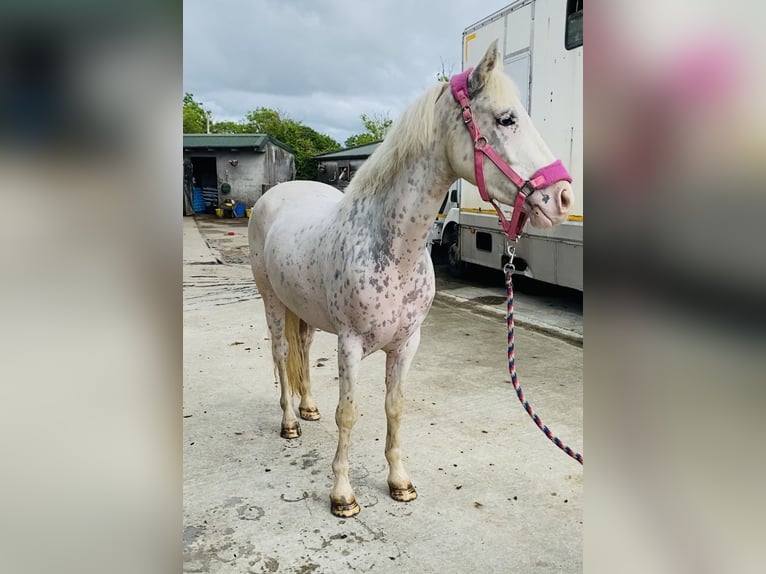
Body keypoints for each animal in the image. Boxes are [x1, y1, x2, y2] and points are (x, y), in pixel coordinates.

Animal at [249, 39, 572, 516]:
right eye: (506, 118)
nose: (563, 197)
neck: (392, 248)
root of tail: (276, 194)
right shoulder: (349, 344)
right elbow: (349, 412)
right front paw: (342, 494)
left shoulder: (406, 344)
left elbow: (395, 408)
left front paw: (399, 482)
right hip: (271, 300)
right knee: (281, 353)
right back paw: (290, 422)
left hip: (301, 307)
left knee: (302, 350)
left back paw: (308, 410)